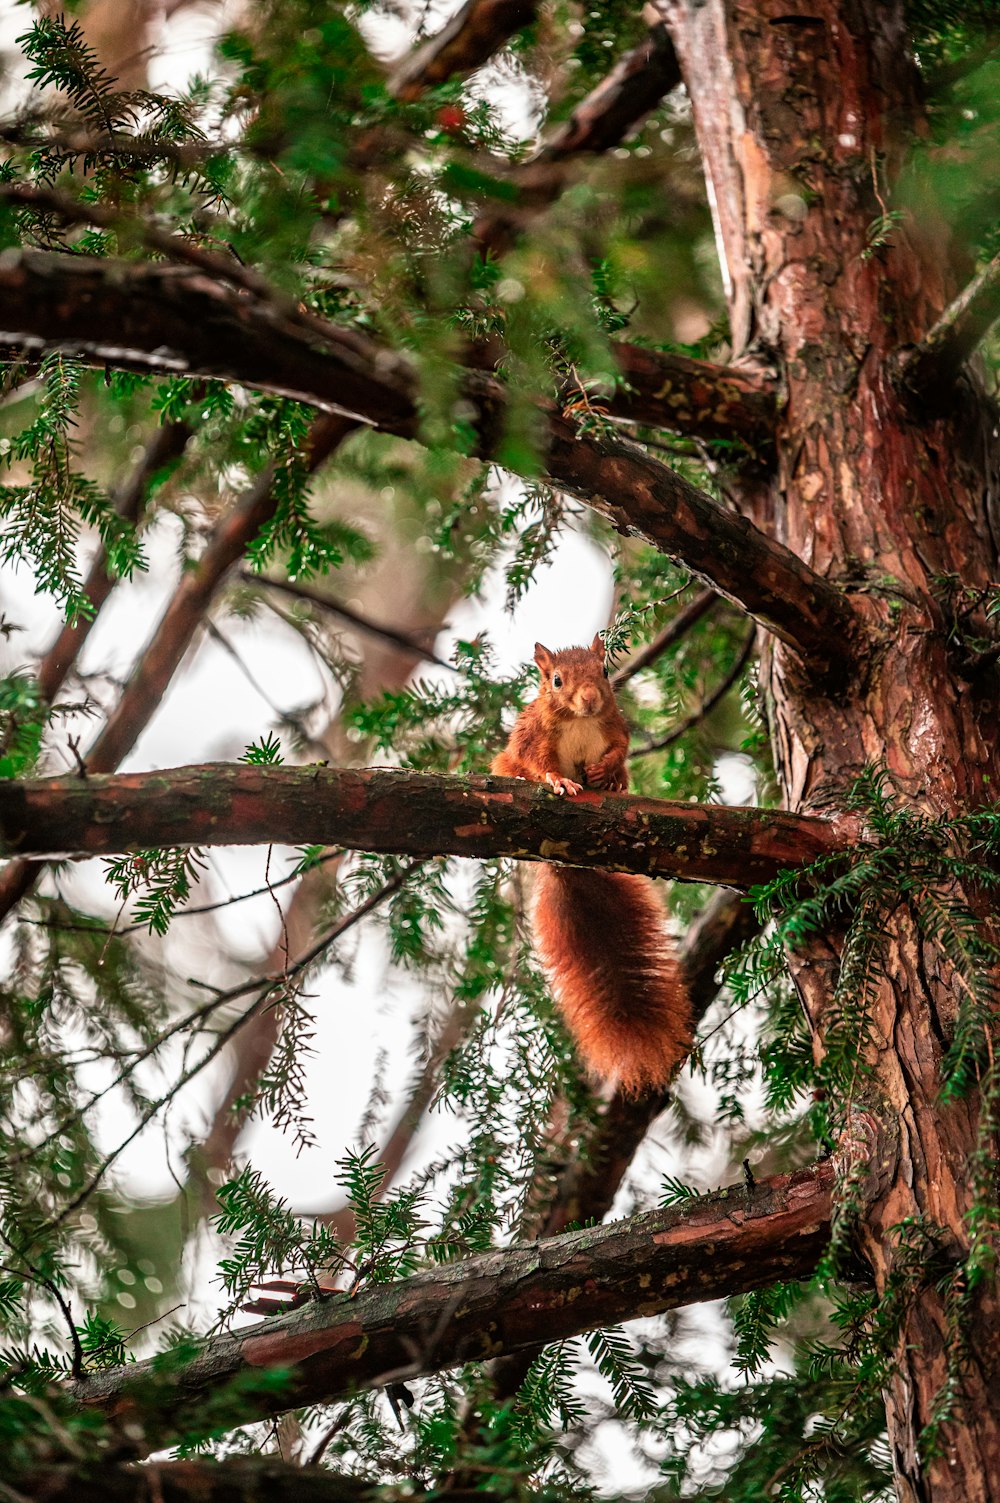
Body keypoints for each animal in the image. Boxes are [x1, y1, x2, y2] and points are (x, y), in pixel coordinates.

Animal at [490, 634, 691, 1094]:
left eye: (602, 671)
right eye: (557, 680)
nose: (589, 698)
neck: (580, 721)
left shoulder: (614, 725)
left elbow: (620, 748)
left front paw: (606, 771)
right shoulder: (534, 737)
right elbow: (540, 763)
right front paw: (557, 780)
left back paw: (613, 784)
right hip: (504, 762)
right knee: (512, 766)